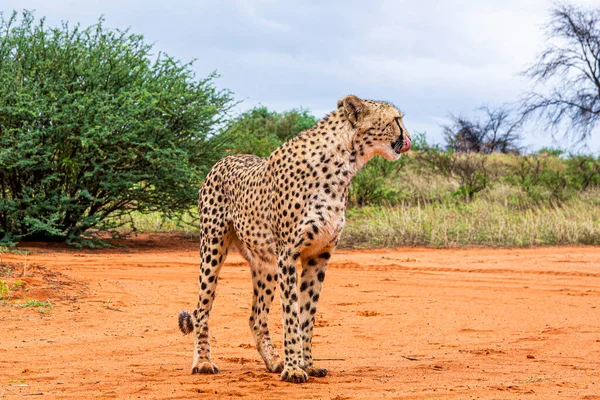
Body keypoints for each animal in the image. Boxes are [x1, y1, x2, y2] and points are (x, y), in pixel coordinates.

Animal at [178, 95, 412, 382]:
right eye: (396, 120)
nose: (408, 138)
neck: (342, 166)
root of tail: (225, 158)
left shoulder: (319, 255)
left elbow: (307, 314)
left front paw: (306, 364)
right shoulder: (288, 254)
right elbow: (290, 313)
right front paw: (293, 368)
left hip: (265, 263)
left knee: (256, 317)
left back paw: (273, 361)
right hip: (213, 247)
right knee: (201, 309)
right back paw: (203, 362)